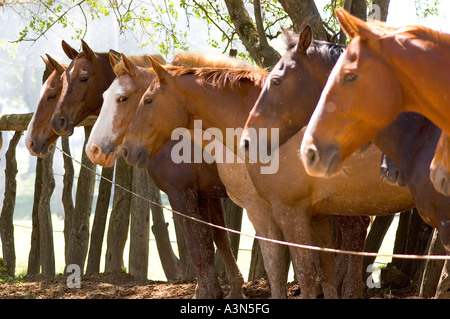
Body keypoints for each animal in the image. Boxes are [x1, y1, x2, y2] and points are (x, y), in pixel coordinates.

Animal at [26, 42, 244, 300]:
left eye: (53, 93)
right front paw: (232, 288)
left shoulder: (183, 193)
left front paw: (210, 292)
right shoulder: (205, 194)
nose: (32, 140)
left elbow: (201, 248)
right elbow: (217, 240)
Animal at [119, 55, 414, 300]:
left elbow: (302, 274)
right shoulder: (313, 215)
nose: (126, 149)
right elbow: (314, 273)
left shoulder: (284, 212)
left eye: (147, 100)